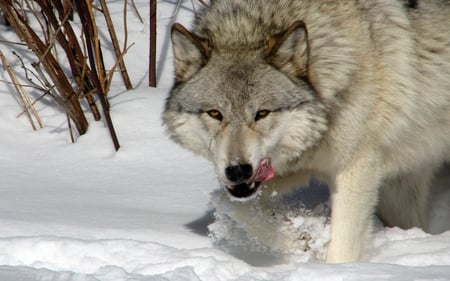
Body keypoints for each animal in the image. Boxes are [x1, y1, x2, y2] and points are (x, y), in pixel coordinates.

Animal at [163, 0, 450, 262]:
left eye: (262, 113)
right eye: (215, 114)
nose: (238, 170)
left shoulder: (356, 170)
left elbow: (343, 248)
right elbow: (230, 202)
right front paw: (300, 241)